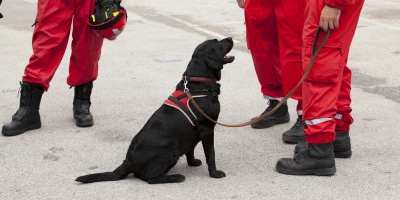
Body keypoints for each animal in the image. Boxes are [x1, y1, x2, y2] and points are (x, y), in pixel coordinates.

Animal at [76, 37, 234, 184]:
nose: (231, 38)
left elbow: (191, 150)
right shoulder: (207, 129)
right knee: (151, 179)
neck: (199, 81)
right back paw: (176, 177)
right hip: (171, 151)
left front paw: (192, 162)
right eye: (218, 42)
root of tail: (128, 162)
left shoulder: (193, 133)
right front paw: (214, 173)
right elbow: (211, 154)